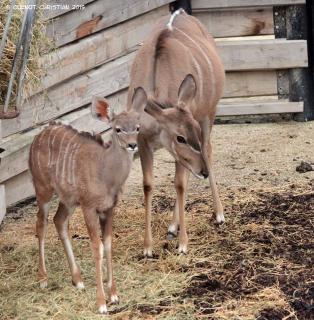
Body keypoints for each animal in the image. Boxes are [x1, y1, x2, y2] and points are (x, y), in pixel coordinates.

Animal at [29, 89, 146, 312]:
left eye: (137, 127)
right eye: (118, 129)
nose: (132, 145)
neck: (106, 176)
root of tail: (36, 138)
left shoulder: (109, 208)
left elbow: (108, 244)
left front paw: (114, 295)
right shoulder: (89, 207)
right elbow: (97, 247)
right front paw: (101, 303)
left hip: (68, 199)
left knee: (59, 220)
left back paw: (78, 280)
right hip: (43, 189)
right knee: (41, 223)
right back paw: (43, 278)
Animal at [127, 8, 226, 256]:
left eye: (192, 133)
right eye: (180, 137)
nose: (204, 172)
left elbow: (179, 184)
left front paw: (183, 245)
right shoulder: (143, 142)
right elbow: (148, 185)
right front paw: (148, 248)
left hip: (209, 113)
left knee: (207, 152)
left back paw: (219, 214)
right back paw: (173, 226)